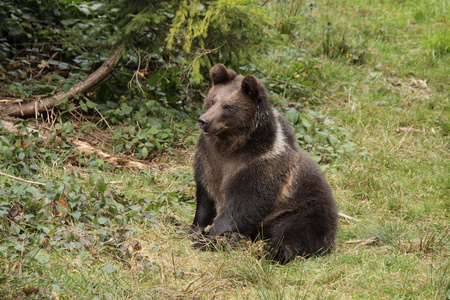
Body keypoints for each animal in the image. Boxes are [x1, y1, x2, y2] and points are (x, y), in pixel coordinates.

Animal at [190, 64, 338, 264]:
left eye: (228, 106)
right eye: (212, 100)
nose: (204, 120)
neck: (231, 145)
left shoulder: (261, 167)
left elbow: (243, 206)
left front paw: (210, 238)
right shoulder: (208, 160)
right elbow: (205, 199)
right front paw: (195, 230)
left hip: (304, 208)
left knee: (298, 232)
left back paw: (272, 250)